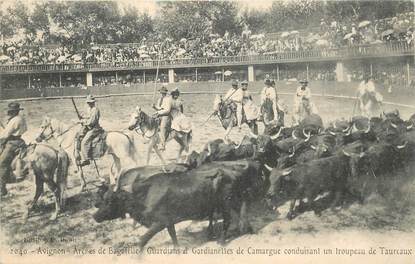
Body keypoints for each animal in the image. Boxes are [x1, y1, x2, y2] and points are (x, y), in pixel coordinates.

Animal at [92, 160, 266, 249]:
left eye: (110, 200)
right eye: (104, 197)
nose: (95, 216)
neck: (146, 193)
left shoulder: (159, 222)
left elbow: (142, 241)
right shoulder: (169, 221)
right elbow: (173, 236)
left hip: (226, 203)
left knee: (229, 220)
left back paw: (222, 241)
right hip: (229, 202)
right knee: (240, 212)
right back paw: (245, 229)